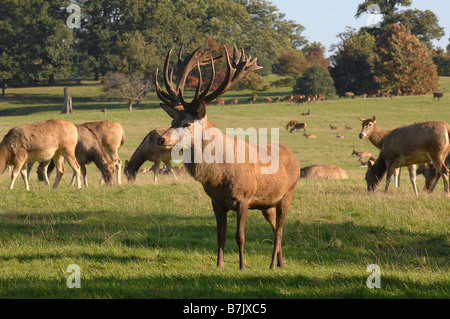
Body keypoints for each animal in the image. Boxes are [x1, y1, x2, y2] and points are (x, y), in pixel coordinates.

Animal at [155, 44, 298, 270]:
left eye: (186, 123)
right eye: (172, 121)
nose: (161, 139)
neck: (220, 177)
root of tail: (295, 157)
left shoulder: (244, 198)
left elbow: (240, 236)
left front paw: (242, 266)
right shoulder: (216, 201)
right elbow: (220, 235)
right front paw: (219, 265)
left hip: (287, 194)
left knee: (279, 231)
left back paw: (272, 265)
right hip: (267, 204)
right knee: (277, 228)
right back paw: (280, 263)